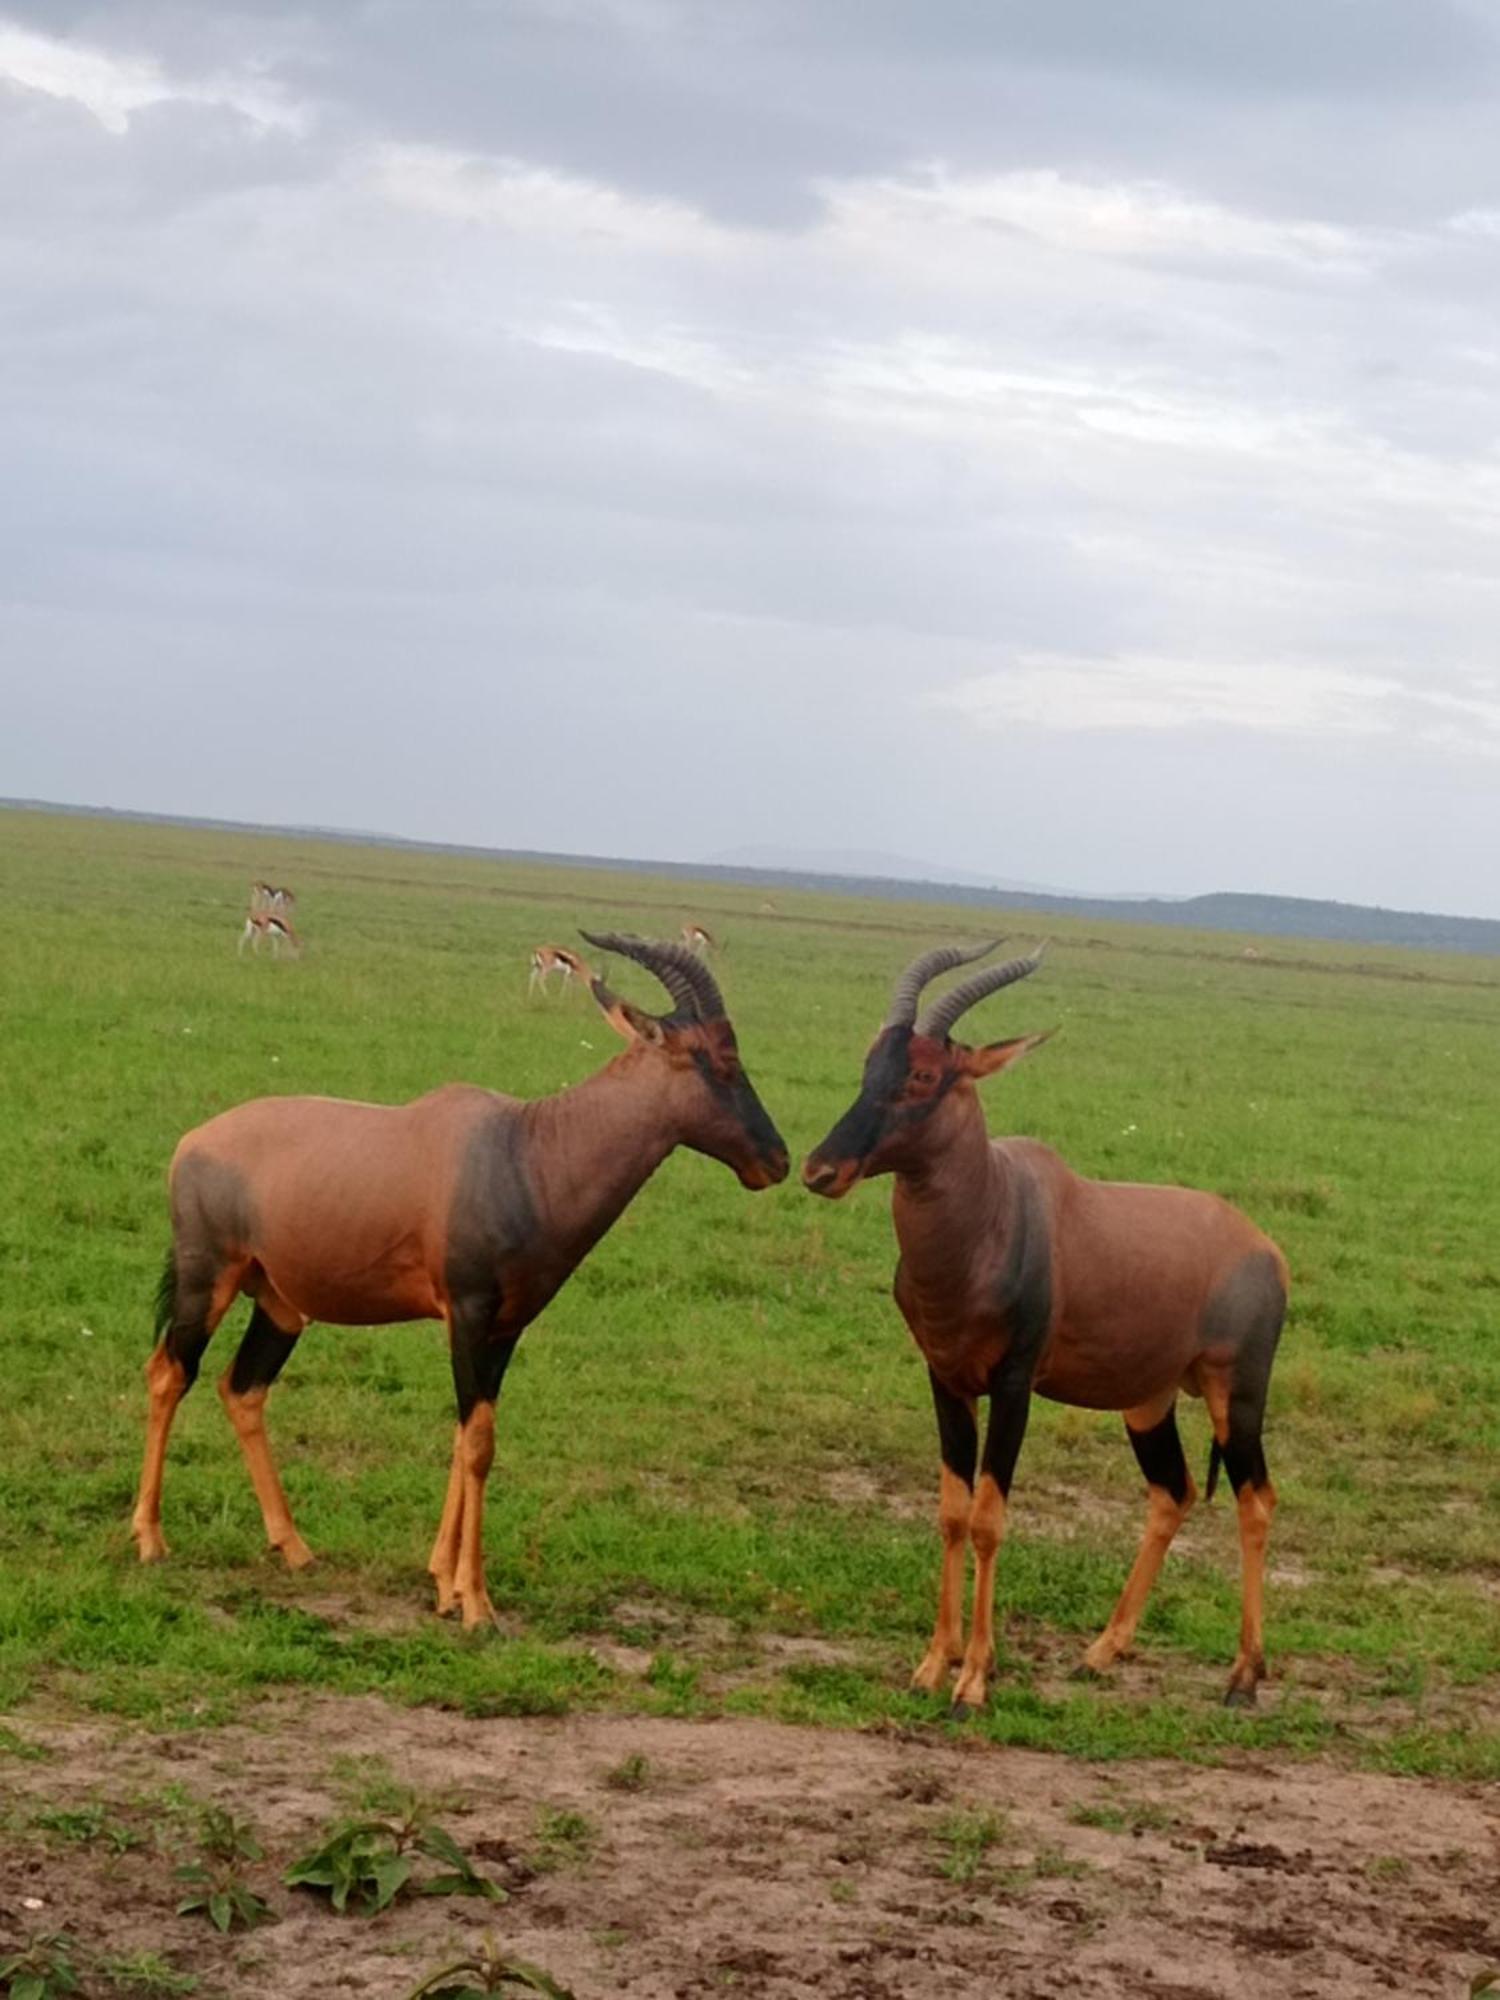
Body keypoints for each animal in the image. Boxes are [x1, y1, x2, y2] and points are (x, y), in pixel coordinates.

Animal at [134, 936, 792, 1624]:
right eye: (719, 1059)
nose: (776, 1161)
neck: (524, 1148)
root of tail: (191, 1143)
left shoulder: (505, 1329)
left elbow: (466, 1434)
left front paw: (444, 1583)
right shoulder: (468, 1313)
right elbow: (479, 1444)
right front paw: (476, 1603)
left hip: (281, 1303)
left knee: (242, 1389)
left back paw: (293, 1547)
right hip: (208, 1279)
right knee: (169, 1373)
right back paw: (150, 1539)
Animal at [804, 944, 1288, 1712]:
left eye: (924, 1074)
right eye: (870, 1061)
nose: (822, 1170)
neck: (994, 1208)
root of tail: (1266, 1250)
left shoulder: (1014, 1386)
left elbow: (989, 1518)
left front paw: (973, 1680)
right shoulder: (946, 1379)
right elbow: (952, 1511)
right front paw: (932, 1665)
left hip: (1234, 1395)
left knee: (1257, 1500)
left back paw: (1243, 1677)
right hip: (1147, 1401)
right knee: (1173, 1492)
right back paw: (1102, 1651)